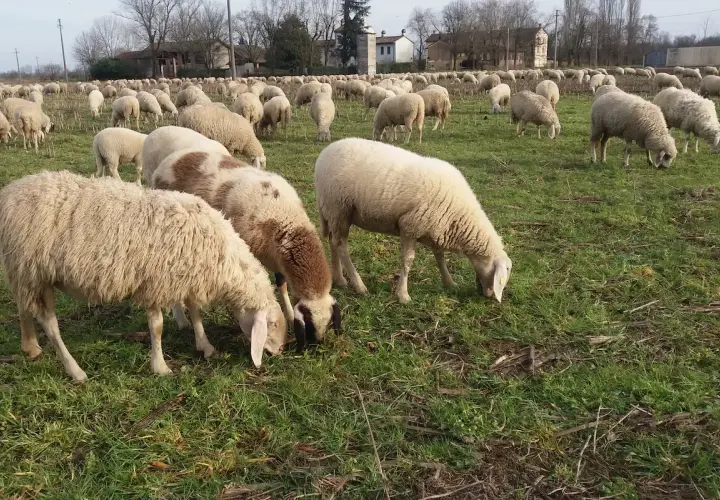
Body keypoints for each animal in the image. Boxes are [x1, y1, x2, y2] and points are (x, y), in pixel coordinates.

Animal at [0, 171, 286, 381]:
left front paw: (205, 346)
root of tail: (10, 192)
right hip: (34, 271)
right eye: (271, 324)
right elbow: (157, 326)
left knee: (23, 308)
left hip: (24, 272)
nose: (279, 351)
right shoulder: (157, 282)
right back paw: (75, 370)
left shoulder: (186, 276)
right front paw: (160, 366)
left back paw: (31, 347)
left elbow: (195, 313)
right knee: (49, 323)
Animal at [151, 153, 340, 349]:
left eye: (328, 323)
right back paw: (181, 318)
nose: (316, 344)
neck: (283, 216)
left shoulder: (276, 259)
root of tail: (171, 160)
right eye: (309, 325)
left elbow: (282, 284)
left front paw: (288, 312)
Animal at [314, 138, 512, 304]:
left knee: (333, 242)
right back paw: (359, 285)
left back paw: (339, 280)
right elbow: (408, 261)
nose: (489, 296)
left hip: (334, 213)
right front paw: (403, 295)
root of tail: (323, 154)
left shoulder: (436, 228)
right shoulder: (409, 226)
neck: (461, 217)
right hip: (339, 208)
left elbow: (440, 257)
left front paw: (449, 282)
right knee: (341, 246)